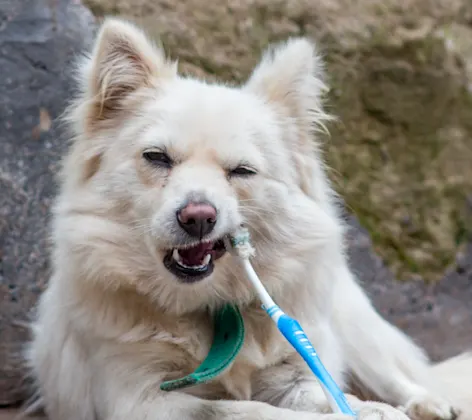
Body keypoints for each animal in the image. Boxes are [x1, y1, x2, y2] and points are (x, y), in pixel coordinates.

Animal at [28, 17, 472, 420]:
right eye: (157, 157)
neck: (208, 304)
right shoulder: (142, 398)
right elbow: (246, 409)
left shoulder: (293, 372)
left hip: (351, 330)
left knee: (395, 376)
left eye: (241, 171)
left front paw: (372, 410)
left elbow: (327, 392)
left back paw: (429, 404)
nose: (198, 217)